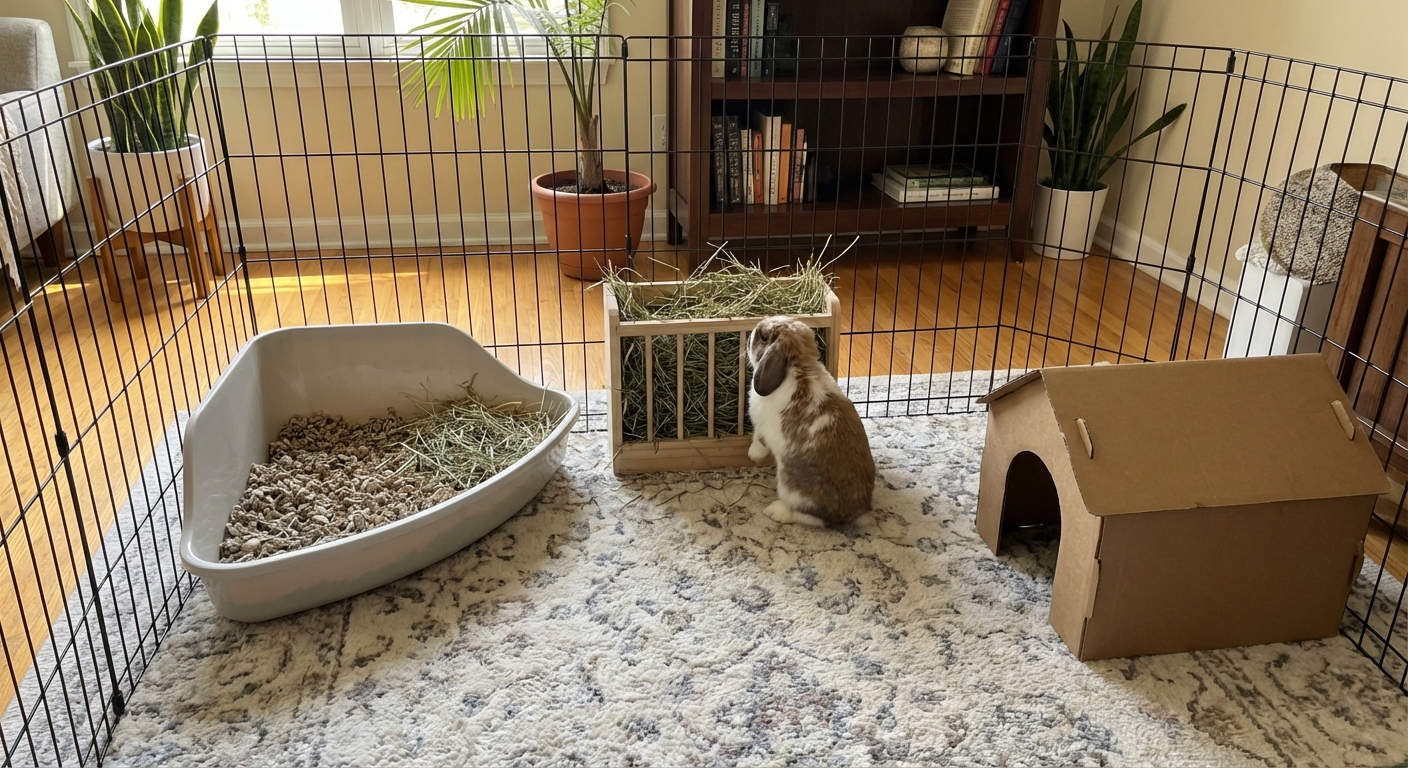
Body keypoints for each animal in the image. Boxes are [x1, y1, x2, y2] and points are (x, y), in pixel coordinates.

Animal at [746, 315, 876, 527]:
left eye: (764, 337)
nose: (750, 335)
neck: (799, 368)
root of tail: (853, 514)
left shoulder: (762, 424)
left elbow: (758, 439)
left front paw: (753, 455)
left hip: (790, 486)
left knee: (811, 517)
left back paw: (775, 511)